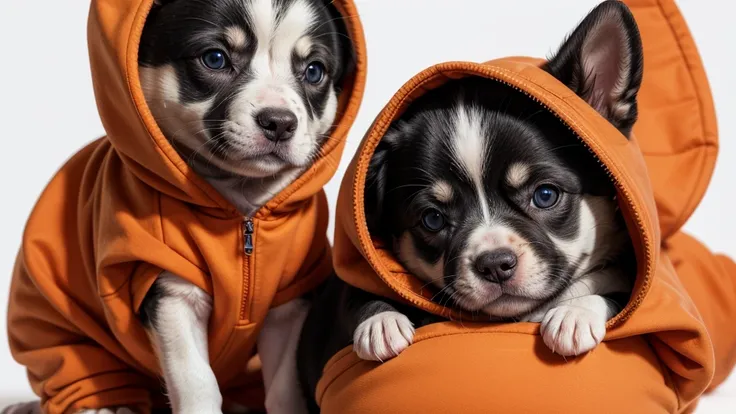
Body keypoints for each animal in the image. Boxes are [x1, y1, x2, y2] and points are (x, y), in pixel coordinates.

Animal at [137, 0, 356, 414]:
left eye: (314, 70)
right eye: (215, 58)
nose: (280, 122)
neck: (243, 210)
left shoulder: (289, 303)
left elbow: (284, 386)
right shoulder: (173, 294)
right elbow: (197, 382)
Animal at [300, 0, 644, 404]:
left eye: (545, 195)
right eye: (432, 219)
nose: (494, 264)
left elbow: (616, 296)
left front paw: (574, 314)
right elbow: (358, 295)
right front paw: (380, 322)